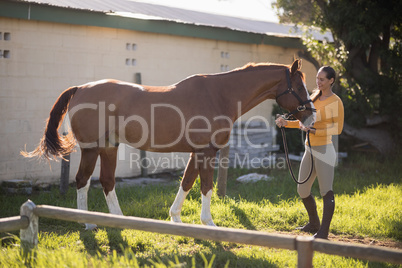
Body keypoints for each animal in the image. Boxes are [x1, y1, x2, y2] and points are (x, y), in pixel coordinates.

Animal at [22, 58, 316, 228]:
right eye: (300, 87)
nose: (312, 116)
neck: (219, 95)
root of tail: (80, 89)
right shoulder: (207, 152)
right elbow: (206, 186)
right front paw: (209, 224)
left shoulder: (198, 152)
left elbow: (186, 182)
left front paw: (176, 218)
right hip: (92, 148)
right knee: (83, 181)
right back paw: (89, 224)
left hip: (109, 147)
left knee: (106, 182)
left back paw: (118, 220)